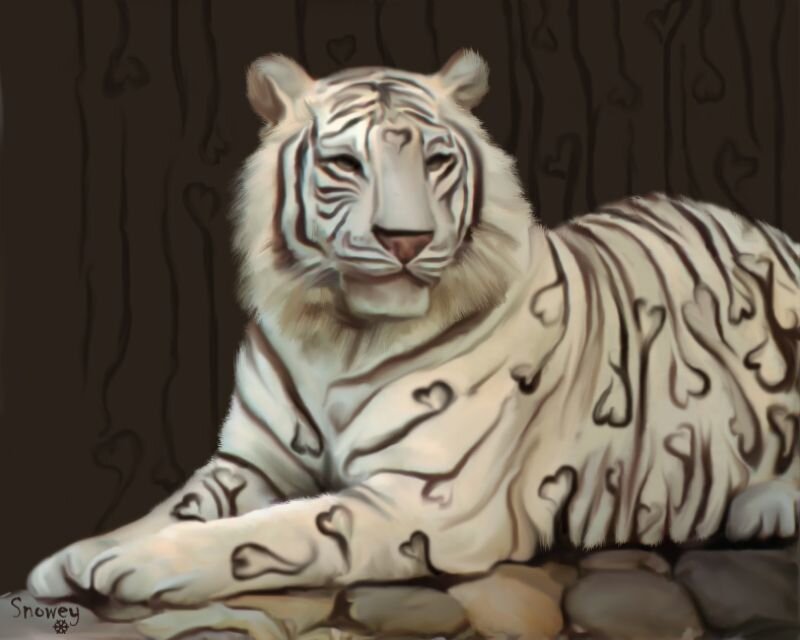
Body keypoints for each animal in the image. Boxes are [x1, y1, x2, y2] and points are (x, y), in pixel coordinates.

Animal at [27, 49, 800, 615]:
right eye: (346, 164)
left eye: (436, 160)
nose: (406, 239)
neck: (338, 337)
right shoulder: (250, 462)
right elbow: (179, 504)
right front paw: (74, 556)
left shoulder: (429, 501)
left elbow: (273, 530)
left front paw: (135, 563)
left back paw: (761, 506)